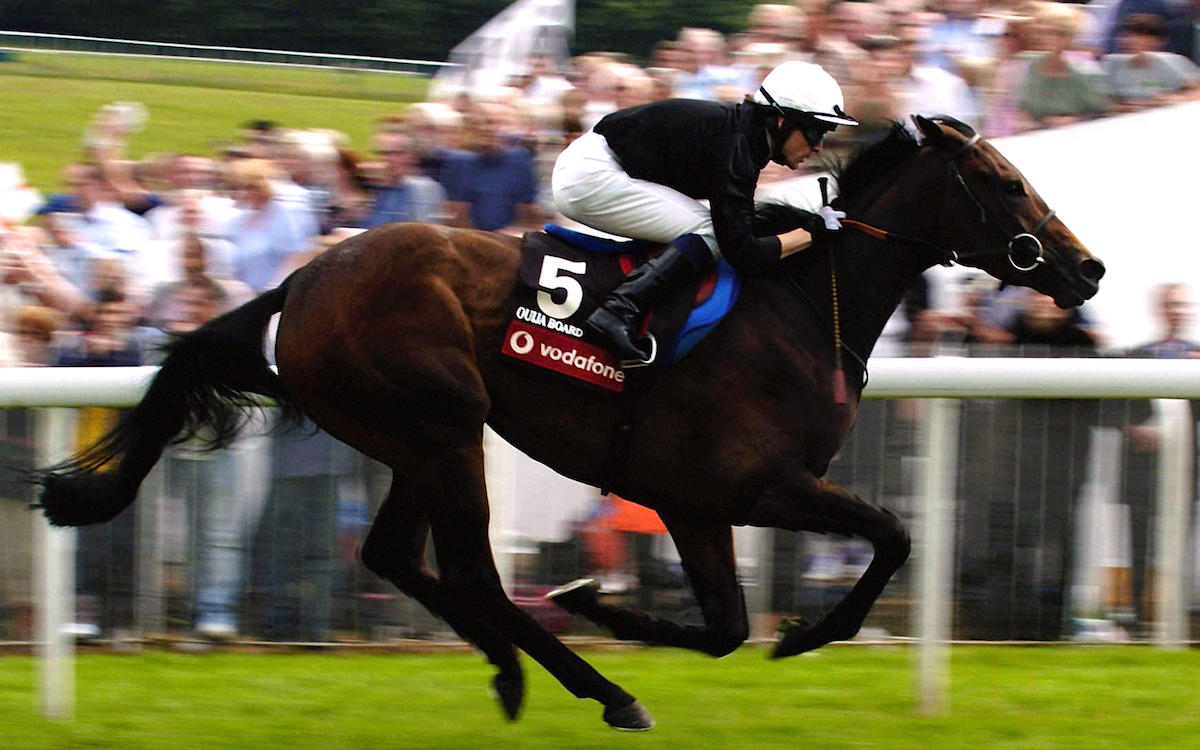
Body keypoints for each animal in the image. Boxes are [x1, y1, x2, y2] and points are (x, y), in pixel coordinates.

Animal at [35, 114, 1104, 729]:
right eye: (1007, 184)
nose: (1087, 268)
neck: (802, 305)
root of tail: (301, 281)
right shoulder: (747, 489)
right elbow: (871, 548)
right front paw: (776, 632)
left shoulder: (710, 501)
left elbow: (753, 613)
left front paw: (641, 614)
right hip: (445, 428)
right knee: (470, 571)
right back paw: (596, 686)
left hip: (412, 438)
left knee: (395, 557)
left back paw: (517, 669)